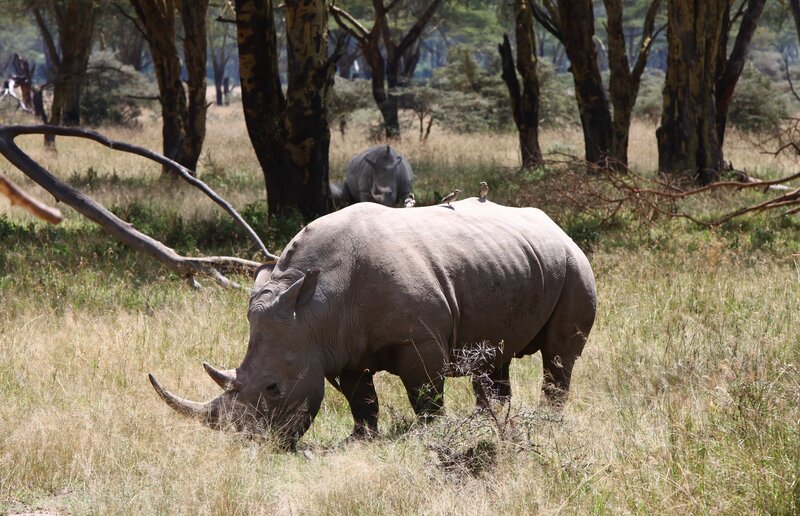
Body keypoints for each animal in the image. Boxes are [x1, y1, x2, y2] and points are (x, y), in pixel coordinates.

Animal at [149, 199, 597, 446]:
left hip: (573, 263)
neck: (313, 308)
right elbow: (361, 398)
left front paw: (430, 434)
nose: (250, 446)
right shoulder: (334, 348)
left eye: (273, 388)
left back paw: (547, 421)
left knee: (559, 355)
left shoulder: (418, 341)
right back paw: (489, 422)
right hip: (510, 260)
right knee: (496, 355)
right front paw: (360, 439)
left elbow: (425, 394)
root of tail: (555, 224)